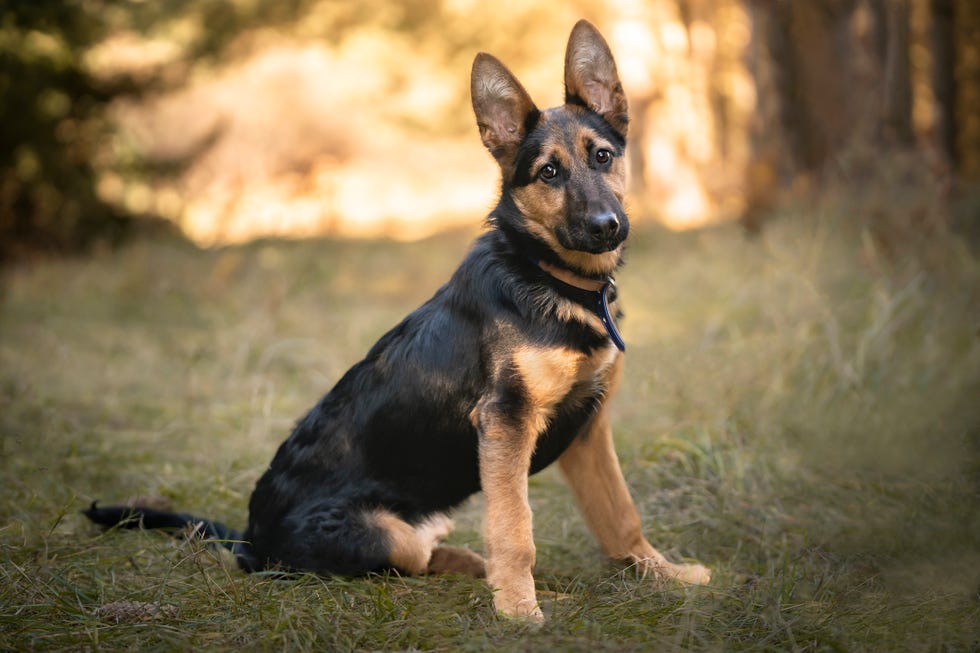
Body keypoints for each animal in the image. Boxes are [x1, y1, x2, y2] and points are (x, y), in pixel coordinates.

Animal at [86, 19, 712, 620]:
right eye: (549, 173)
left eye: (602, 156)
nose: (608, 226)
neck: (548, 275)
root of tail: (249, 542)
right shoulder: (506, 422)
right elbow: (515, 530)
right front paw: (519, 611)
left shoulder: (588, 427)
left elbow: (619, 514)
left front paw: (665, 575)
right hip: (385, 533)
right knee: (406, 566)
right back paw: (517, 588)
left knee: (435, 555)